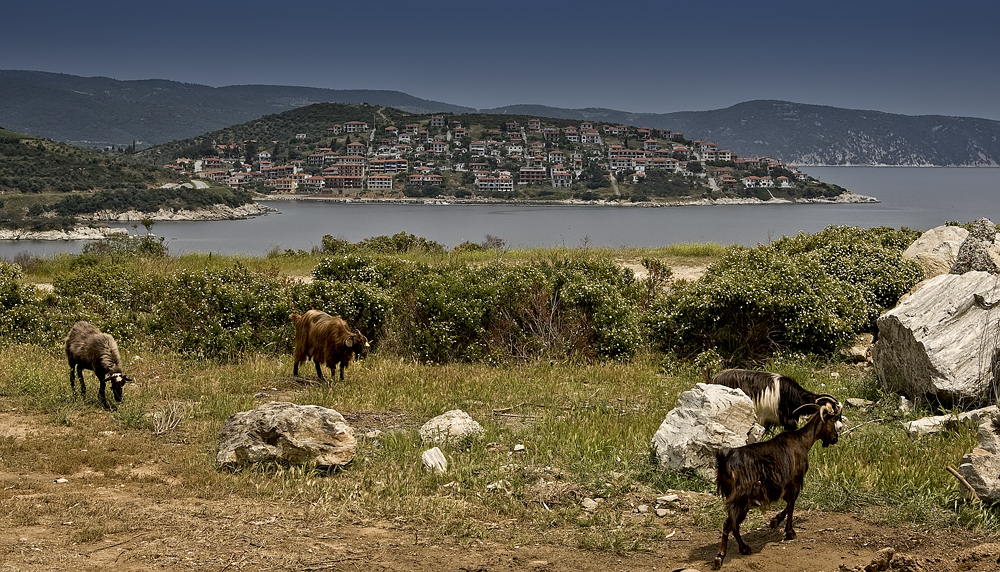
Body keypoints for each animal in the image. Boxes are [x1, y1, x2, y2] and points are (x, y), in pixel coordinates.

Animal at [712, 396, 844, 568]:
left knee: (732, 524)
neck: (802, 441)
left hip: (735, 497)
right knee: (730, 524)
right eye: (833, 420)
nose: (835, 439)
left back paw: (740, 549)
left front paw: (775, 522)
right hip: (741, 497)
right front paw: (788, 531)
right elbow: (791, 505)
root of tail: (725, 464)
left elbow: (789, 505)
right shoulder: (794, 481)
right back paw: (723, 556)